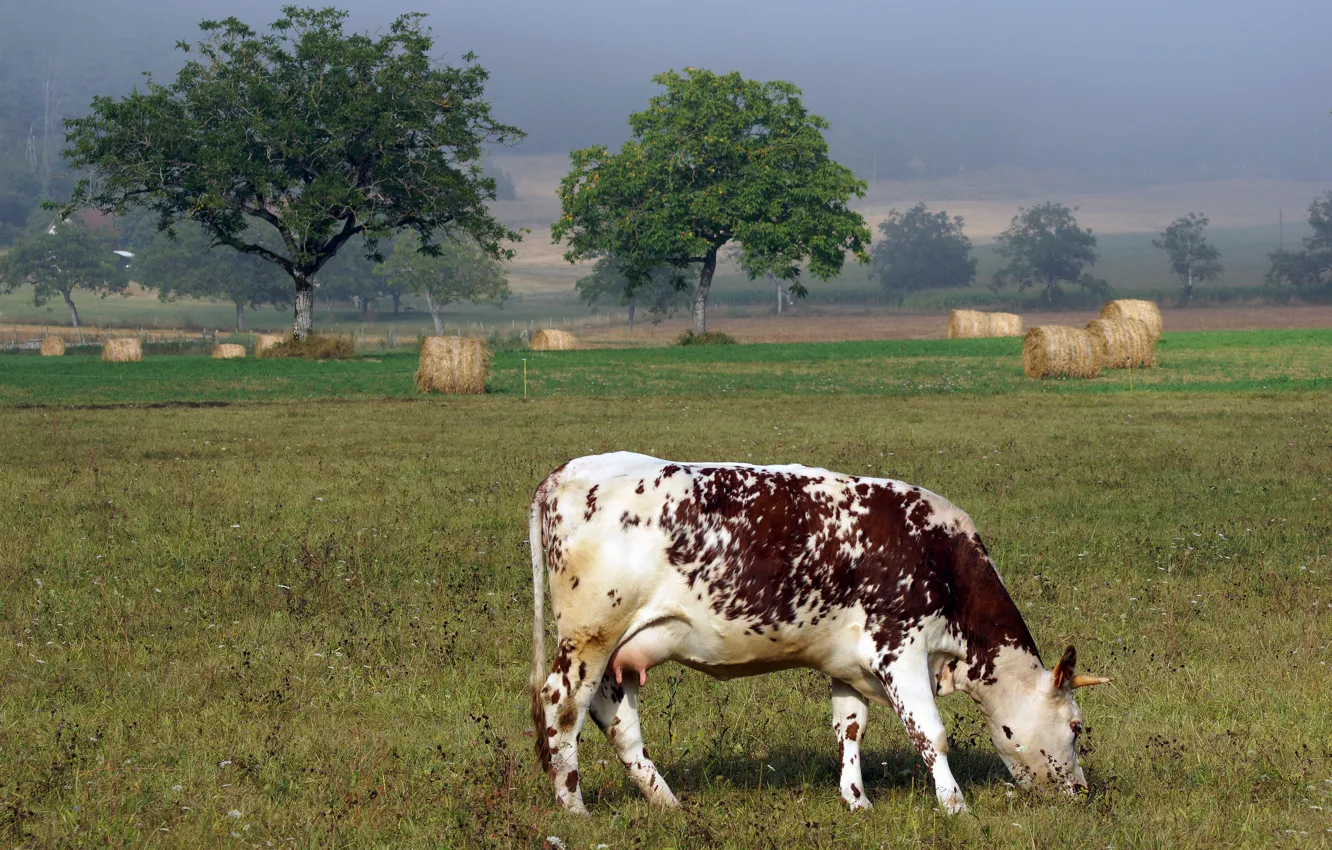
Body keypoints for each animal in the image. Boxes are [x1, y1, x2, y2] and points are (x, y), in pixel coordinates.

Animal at [529, 452, 1109, 815]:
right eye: (1077, 727)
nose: (1082, 792)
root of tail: (567, 470)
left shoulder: (847, 663)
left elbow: (849, 729)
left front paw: (857, 800)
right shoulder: (900, 648)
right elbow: (931, 734)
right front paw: (955, 805)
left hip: (619, 653)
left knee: (617, 723)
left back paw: (665, 802)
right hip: (589, 637)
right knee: (562, 707)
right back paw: (573, 807)